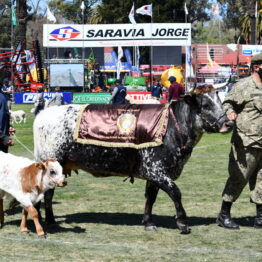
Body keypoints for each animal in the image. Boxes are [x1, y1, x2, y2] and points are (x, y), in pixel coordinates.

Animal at [33, 91, 231, 234]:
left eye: (221, 103)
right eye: (206, 105)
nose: (228, 124)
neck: (172, 129)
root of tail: (44, 115)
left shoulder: (154, 174)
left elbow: (150, 198)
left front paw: (148, 222)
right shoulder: (157, 171)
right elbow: (176, 192)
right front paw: (182, 222)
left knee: (46, 194)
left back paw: (46, 219)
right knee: (46, 193)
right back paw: (48, 220)